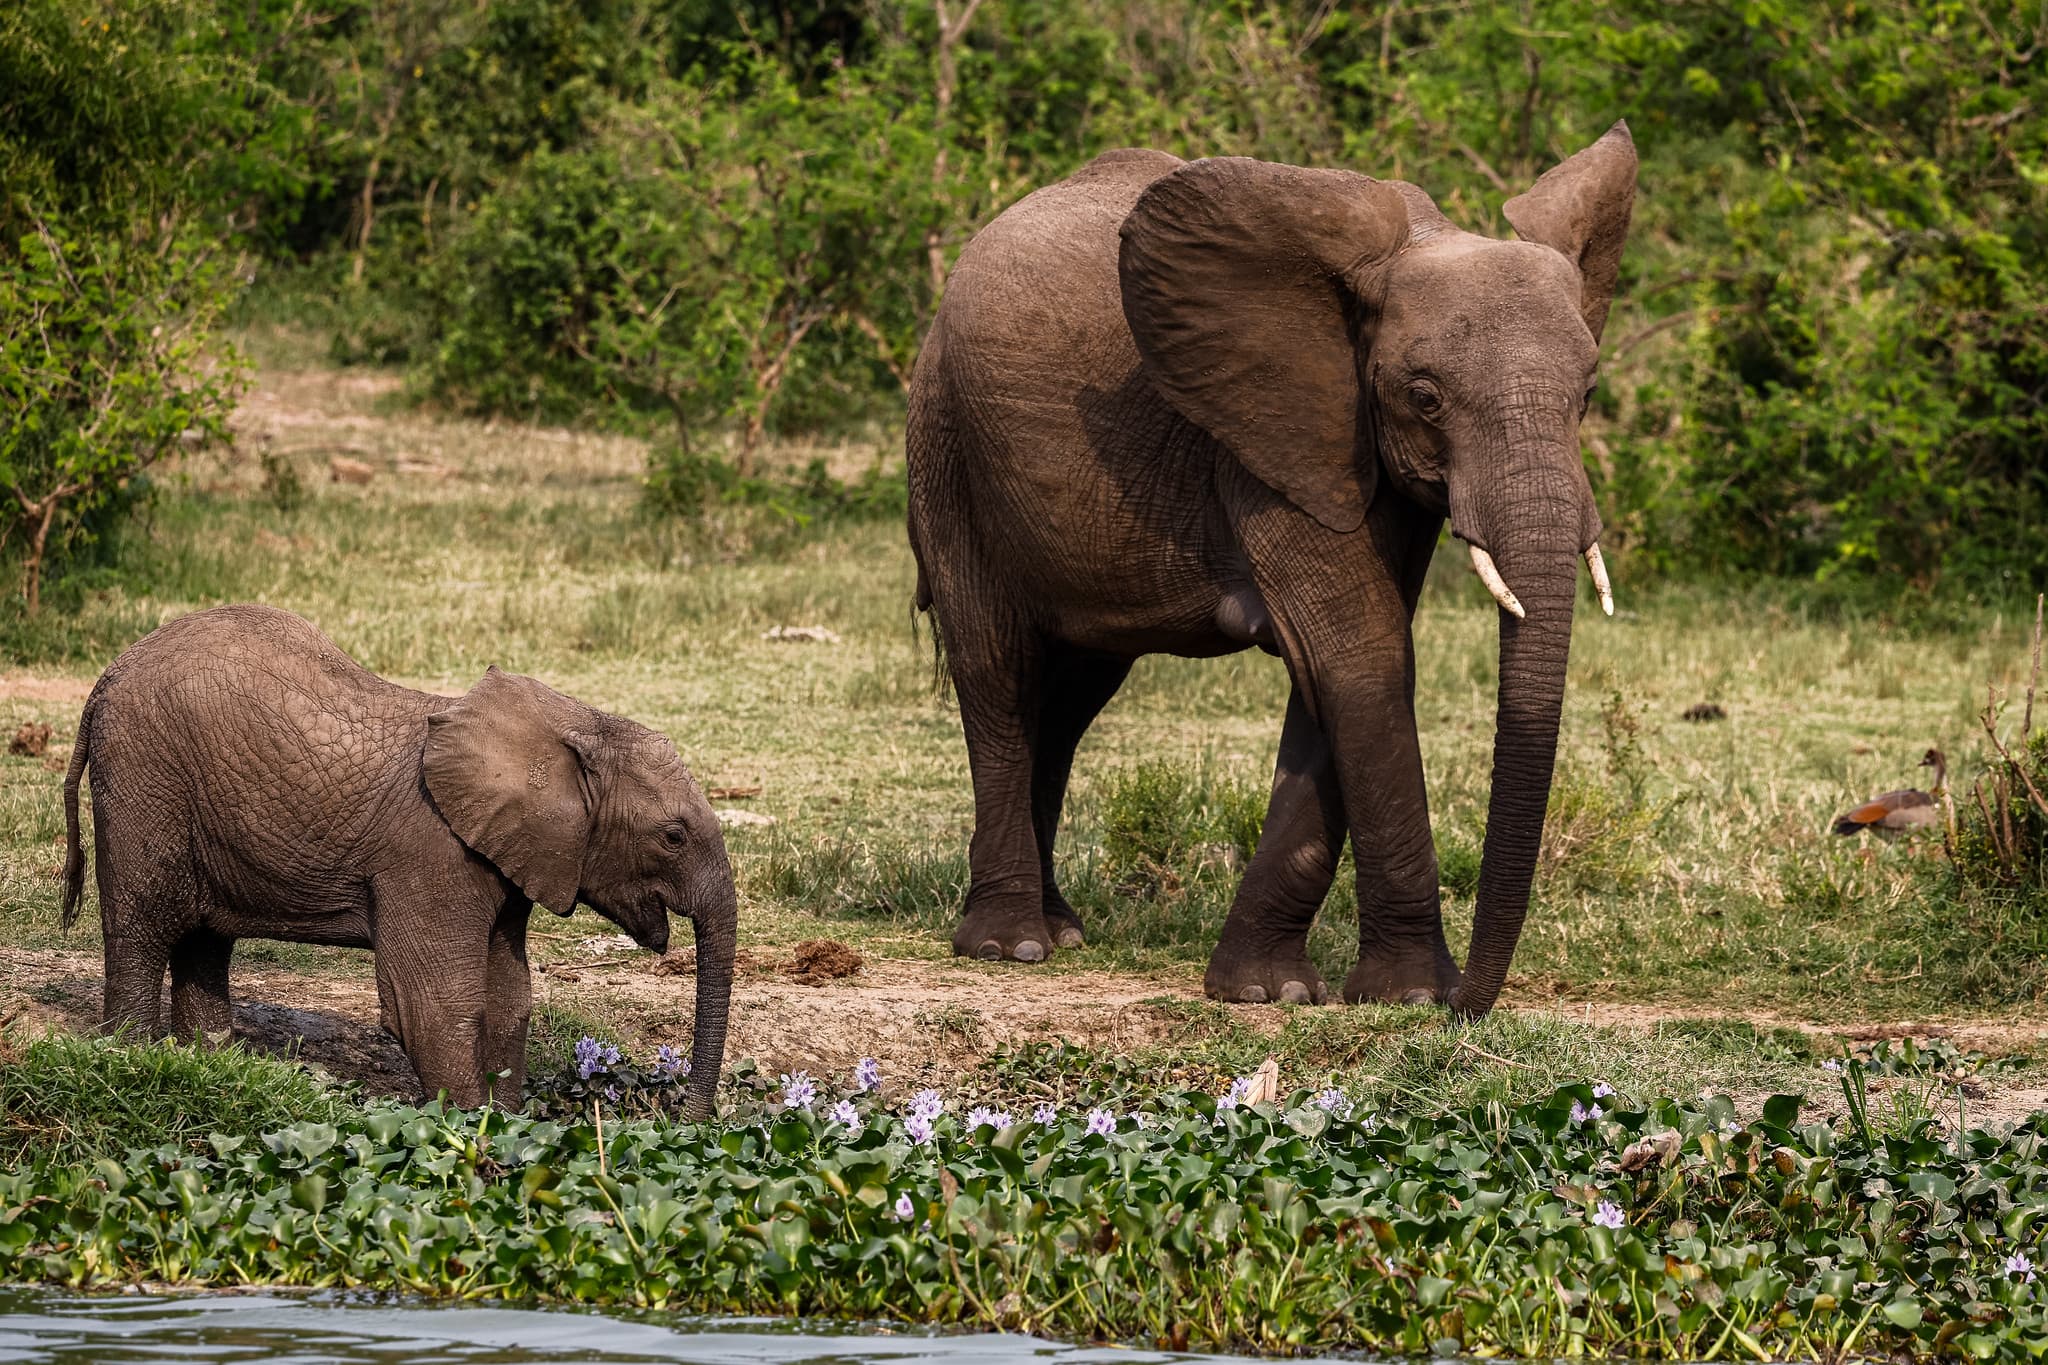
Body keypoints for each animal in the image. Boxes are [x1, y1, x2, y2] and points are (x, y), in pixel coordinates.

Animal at [60, 604, 735, 1117]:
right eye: (673, 837)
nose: (687, 1121)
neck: (568, 729)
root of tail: (107, 677)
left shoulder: (506, 856)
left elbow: (510, 997)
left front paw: (510, 1127)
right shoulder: (434, 854)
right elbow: (433, 1004)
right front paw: (471, 1140)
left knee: (204, 938)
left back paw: (209, 1061)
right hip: (146, 776)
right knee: (145, 925)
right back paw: (133, 1057)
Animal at [905, 125, 1635, 1019]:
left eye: (1587, 394)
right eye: (1425, 397)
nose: (1470, 1000)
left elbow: (1338, 669)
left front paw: (1270, 990)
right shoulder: (1264, 434)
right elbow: (1360, 654)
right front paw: (1409, 996)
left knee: (1072, 694)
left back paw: (1063, 929)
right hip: (945, 444)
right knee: (997, 668)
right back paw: (1011, 945)